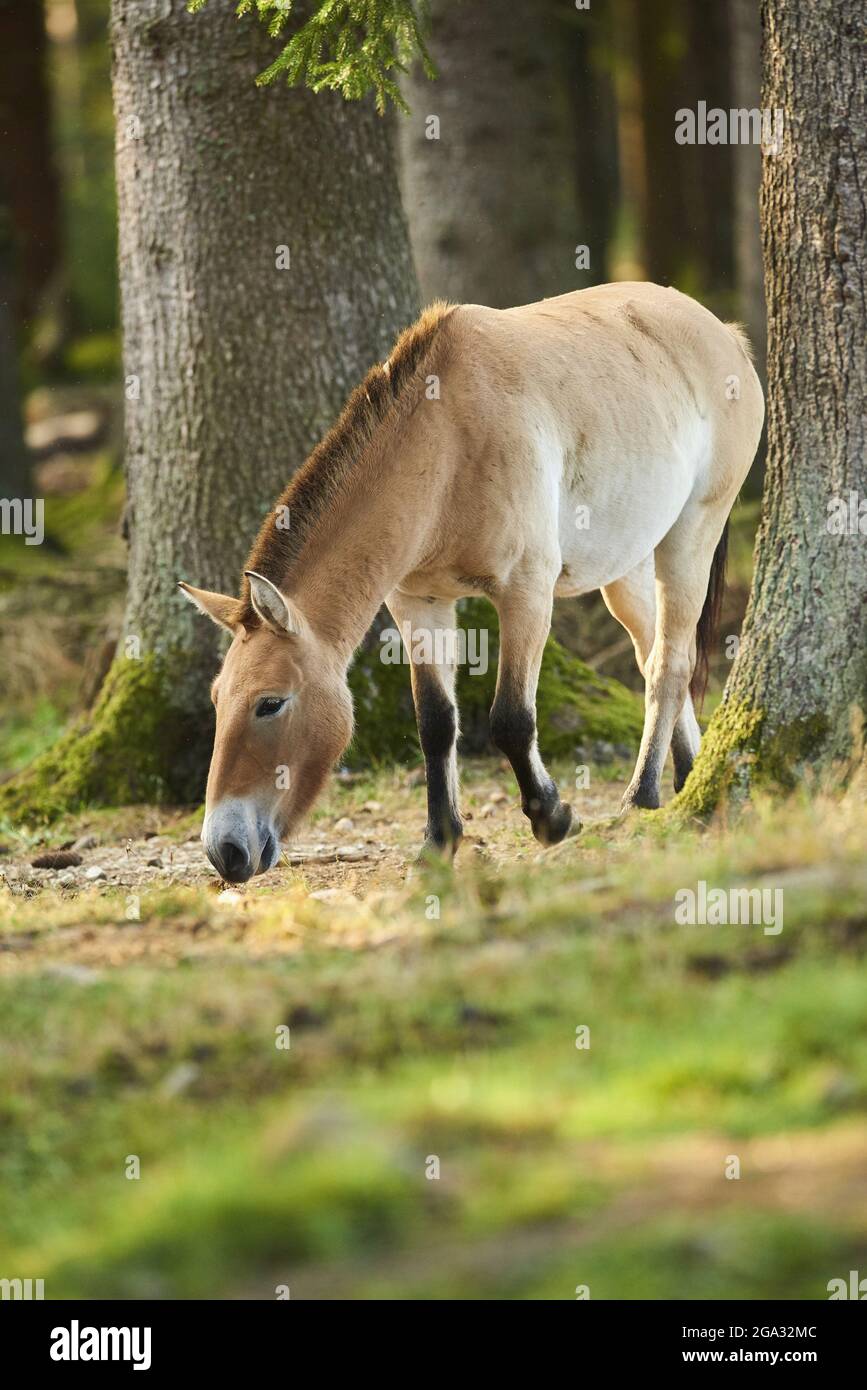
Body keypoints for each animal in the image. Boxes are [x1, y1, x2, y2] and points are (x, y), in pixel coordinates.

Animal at [179, 284, 761, 878]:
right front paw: (439, 841)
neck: (450, 440)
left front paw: (554, 819)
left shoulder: (526, 595)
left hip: (691, 535)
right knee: (654, 653)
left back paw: (640, 799)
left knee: (671, 663)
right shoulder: (419, 602)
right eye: (218, 699)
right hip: (626, 566)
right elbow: (435, 723)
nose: (225, 851)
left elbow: (511, 719)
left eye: (269, 703)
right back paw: (689, 776)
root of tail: (725, 335)